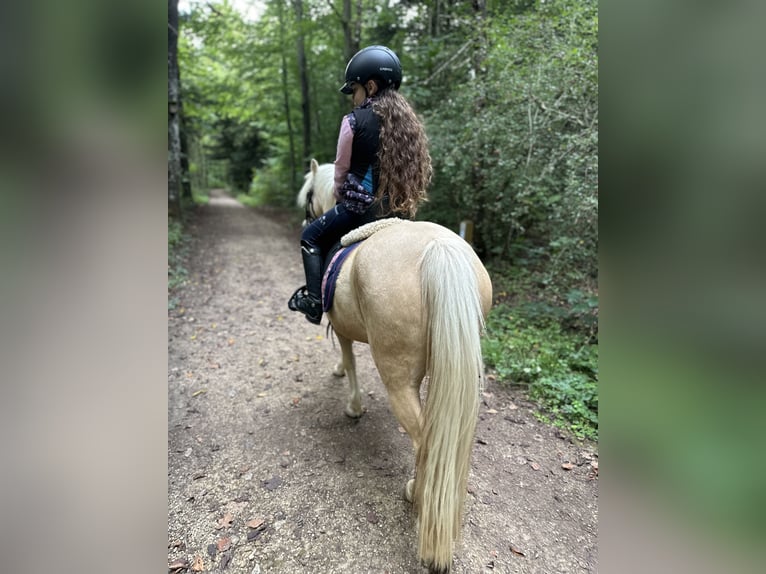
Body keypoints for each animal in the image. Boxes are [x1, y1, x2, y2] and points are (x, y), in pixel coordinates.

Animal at [296, 160, 496, 572]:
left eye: (308, 195)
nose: (306, 216)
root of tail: (441, 249)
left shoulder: (341, 327)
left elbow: (350, 360)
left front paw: (352, 404)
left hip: (399, 380)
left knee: (425, 443)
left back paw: (415, 496)